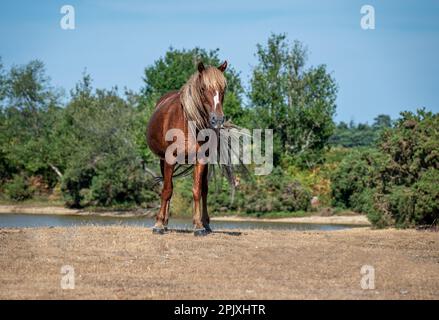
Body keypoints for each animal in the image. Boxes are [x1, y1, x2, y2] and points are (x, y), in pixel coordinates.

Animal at [148, 60, 230, 236]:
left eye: (223, 89)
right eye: (203, 88)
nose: (218, 120)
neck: (189, 124)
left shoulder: (201, 160)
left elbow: (197, 190)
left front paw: (198, 226)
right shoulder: (169, 159)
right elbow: (167, 190)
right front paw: (159, 224)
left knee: (204, 189)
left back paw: (205, 224)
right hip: (162, 160)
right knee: (167, 186)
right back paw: (164, 222)